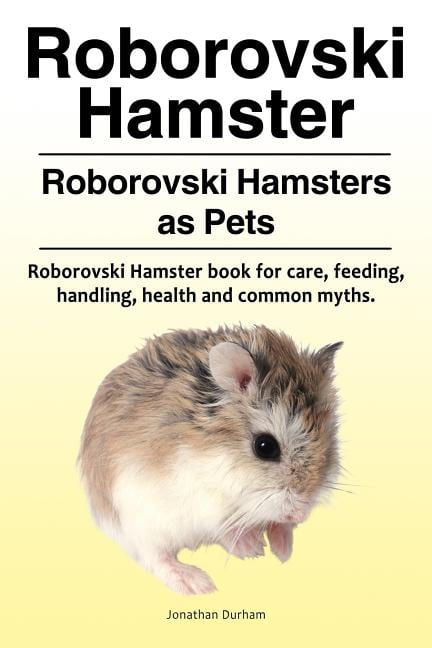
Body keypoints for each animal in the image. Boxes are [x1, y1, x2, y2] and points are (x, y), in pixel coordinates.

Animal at [78, 325, 342, 594]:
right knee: (155, 557)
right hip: (136, 521)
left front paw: (282, 550)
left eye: (330, 442)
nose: (300, 514)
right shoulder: (198, 496)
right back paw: (197, 583)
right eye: (265, 447)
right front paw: (254, 547)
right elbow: (222, 524)